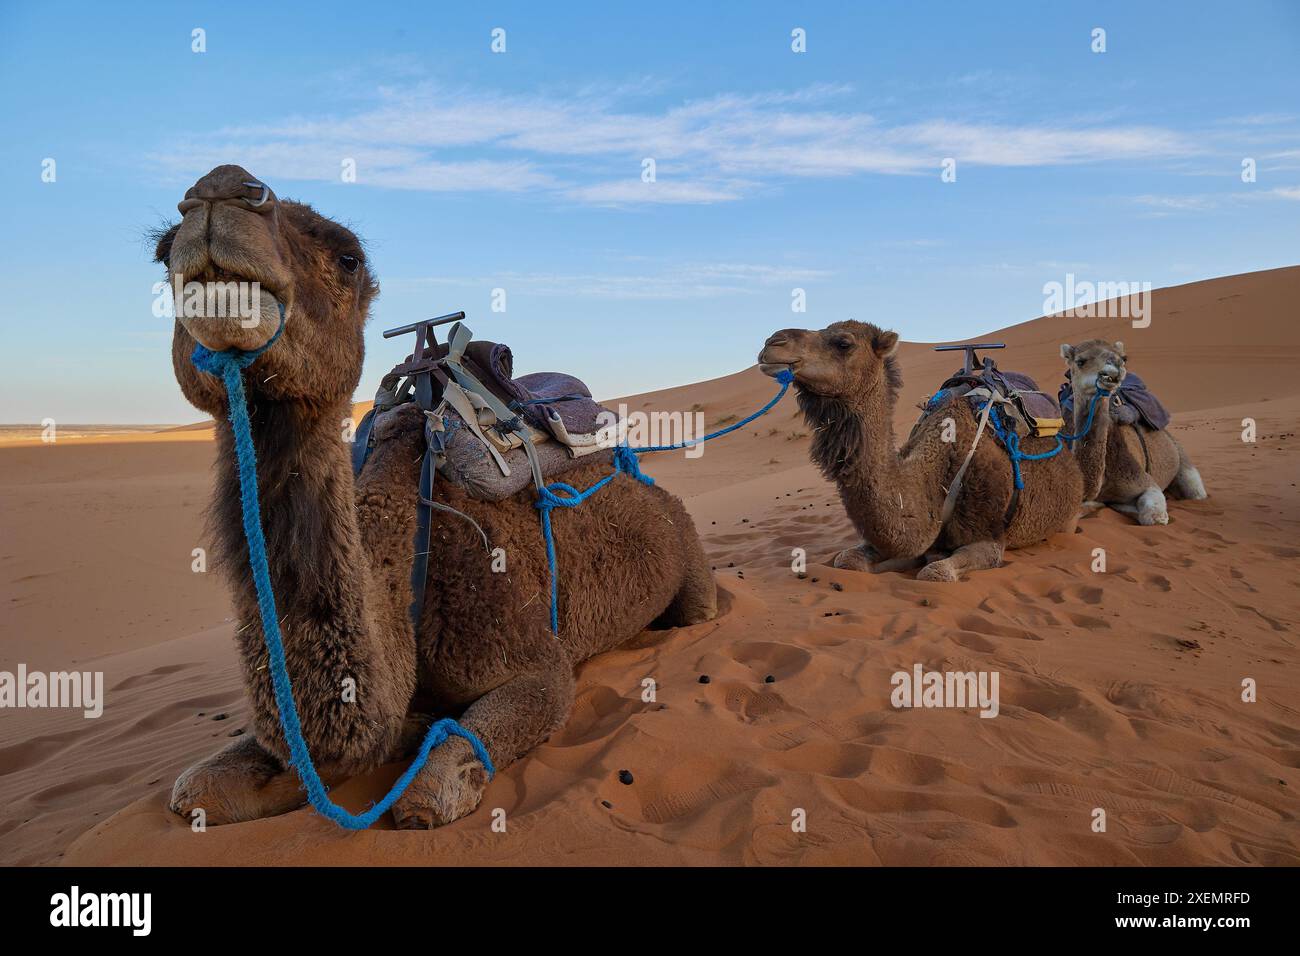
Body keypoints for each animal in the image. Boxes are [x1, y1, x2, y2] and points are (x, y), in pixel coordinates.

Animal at [159, 166, 722, 832]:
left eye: (348, 257)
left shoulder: (535, 662)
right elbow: (195, 790)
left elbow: (427, 796)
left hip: (687, 553)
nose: (222, 189)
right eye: (161, 251)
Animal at [759, 321, 1081, 580]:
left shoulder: (989, 536)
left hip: (1067, 519)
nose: (772, 342)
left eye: (844, 343)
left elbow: (934, 572)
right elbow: (847, 560)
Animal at [1055, 340, 1206, 528]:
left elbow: (1154, 518)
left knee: (1195, 490)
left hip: (1183, 459)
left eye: (1124, 358)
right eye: (1080, 361)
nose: (1115, 367)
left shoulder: (1144, 481)